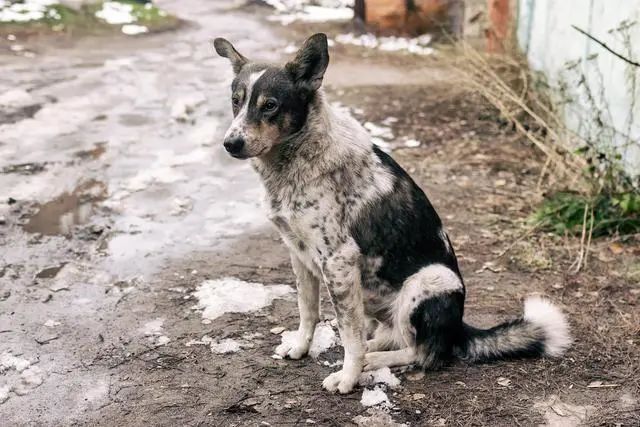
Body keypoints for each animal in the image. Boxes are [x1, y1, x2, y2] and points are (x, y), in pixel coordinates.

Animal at [214, 32, 568, 394]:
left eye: (270, 105)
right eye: (236, 101)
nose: (230, 144)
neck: (293, 163)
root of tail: (459, 330)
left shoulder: (338, 260)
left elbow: (349, 333)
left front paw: (348, 377)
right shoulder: (299, 254)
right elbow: (307, 311)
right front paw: (301, 347)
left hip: (428, 281)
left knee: (422, 352)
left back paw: (373, 360)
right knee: (387, 335)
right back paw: (372, 350)